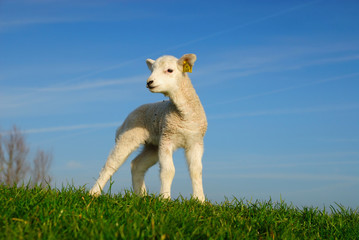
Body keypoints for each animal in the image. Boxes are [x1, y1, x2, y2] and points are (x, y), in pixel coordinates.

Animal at [89, 53, 208, 202]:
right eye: (152, 70)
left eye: (170, 70)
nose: (149, 82)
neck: (184, 116)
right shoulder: (167, 138)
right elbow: (168, 170)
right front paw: (165, 199)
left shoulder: (196, 141)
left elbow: (196, 170)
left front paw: (200, 200)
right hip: (129, 135)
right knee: (111, 164)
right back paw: (93, 193)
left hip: (153, 145)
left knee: (137, 164)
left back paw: (141, 196)